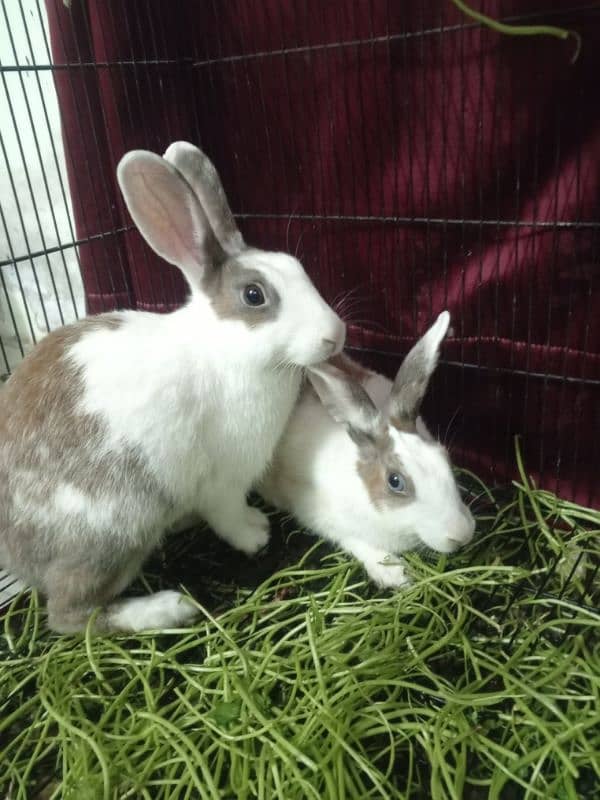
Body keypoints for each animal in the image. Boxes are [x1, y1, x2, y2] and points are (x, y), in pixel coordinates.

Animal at [0, 142, 344, 632]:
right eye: (254, 296)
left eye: (298, 268)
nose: (336, 334)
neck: (225, 349)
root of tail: (14, 555)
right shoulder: (223, 479)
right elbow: (228, 514)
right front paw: (256, 534)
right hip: (114, 527)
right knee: (71, 615)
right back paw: (167, 608)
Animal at [260, 310, 476, 584]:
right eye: (395, 481)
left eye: (444, 457)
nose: (462, 534)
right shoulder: (316, 513)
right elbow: (353, 539)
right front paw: (395, 574)